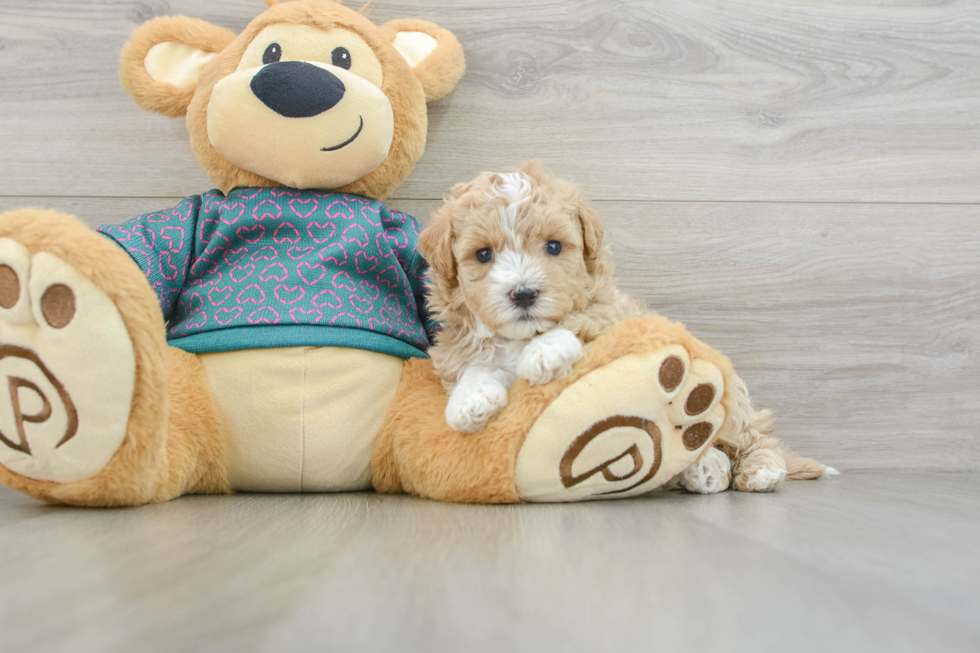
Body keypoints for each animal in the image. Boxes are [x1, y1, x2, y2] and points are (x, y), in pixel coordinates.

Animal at [418, 163, 832, 494]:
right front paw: (469, 402)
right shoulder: (462, 346)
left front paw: (544, 352)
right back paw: (705, 469)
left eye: (553, 246)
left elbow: (581, 322)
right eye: (483, 254)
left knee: (756, 436)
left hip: (735, 412)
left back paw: (759, 470)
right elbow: (474, 365)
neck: (520, 336)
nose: (523, 293)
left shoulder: (615, 318)